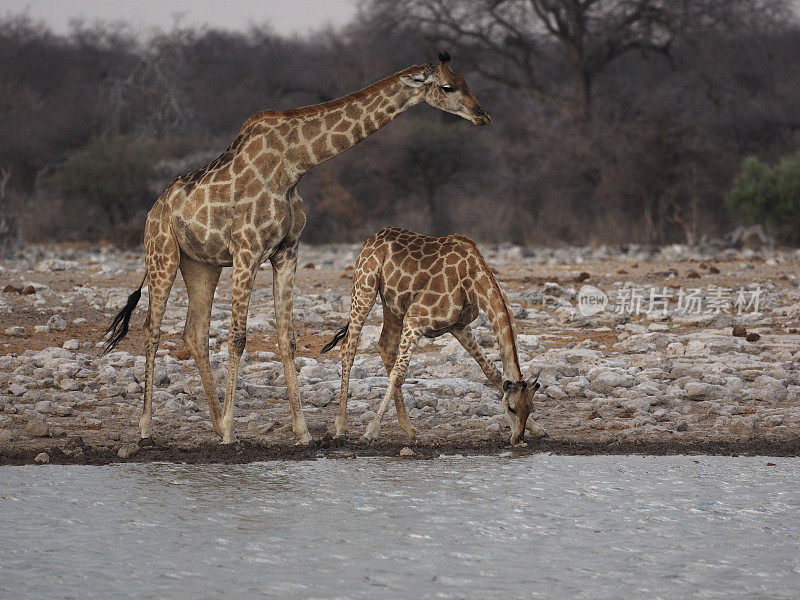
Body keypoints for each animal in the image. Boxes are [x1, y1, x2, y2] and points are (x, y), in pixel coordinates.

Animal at [103, 52, 490, 446]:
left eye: (465, 81)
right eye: (448, 87)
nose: (482, 116)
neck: (294, 164)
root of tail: (153, 210)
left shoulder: (287, 251)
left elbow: (286, 338)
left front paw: (302, 431)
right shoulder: (247, 250)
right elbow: (237, 337)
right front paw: (232, 432)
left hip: (201, 265)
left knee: (194, 332)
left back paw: (213, 424)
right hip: (162, 254)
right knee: (152, 330)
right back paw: (148, 429)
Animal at [322, 227, 548, 448]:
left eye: (531, 408)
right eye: (511, 407)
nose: (518, 439)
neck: (472, 281)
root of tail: (371, 239)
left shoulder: (458, 326)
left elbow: (491, 370)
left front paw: (538, 429)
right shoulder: (415, 319)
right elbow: (398, 373)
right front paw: (371, 431)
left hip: (392, 305)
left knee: (386, 346)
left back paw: (409, 428)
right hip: (365, 287)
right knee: (349, 346)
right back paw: (341, 428)